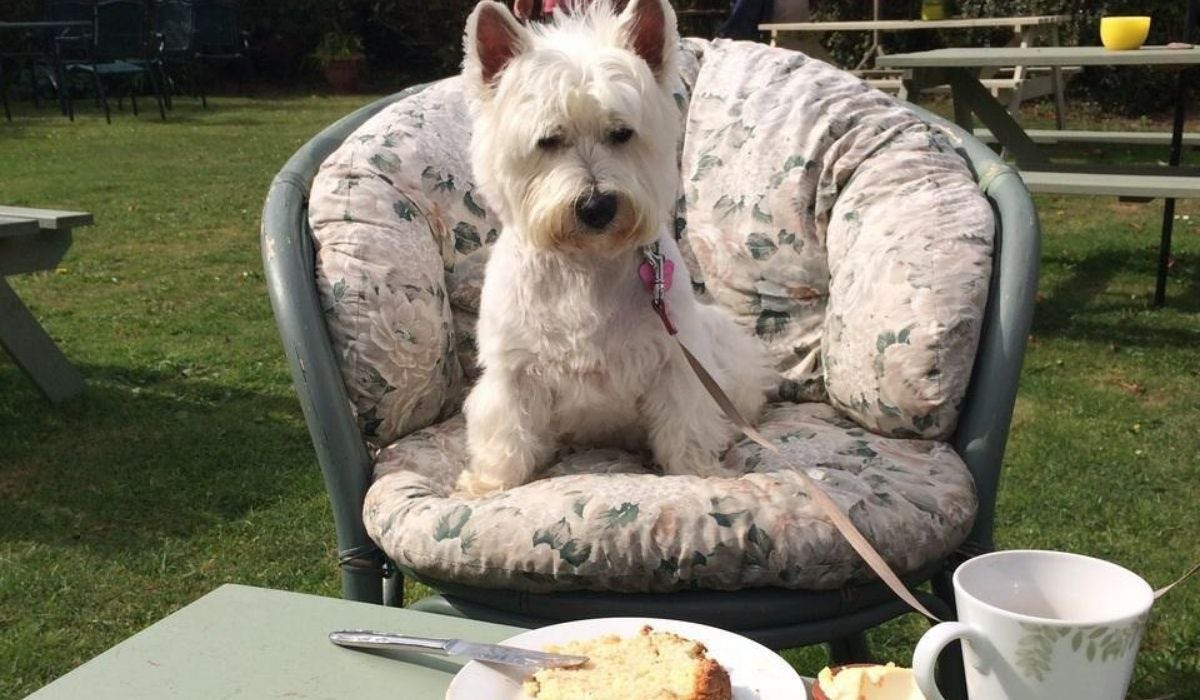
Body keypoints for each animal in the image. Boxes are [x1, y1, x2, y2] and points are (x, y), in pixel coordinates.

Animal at [453, 0, 772, 499]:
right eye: (548, 140)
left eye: (621, 133)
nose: (597, 206)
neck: (587, 263)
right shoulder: (513, 372)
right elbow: (507, 433)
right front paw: (488, 485)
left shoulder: (675, 364)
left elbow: (685, 426)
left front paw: (699, 474)